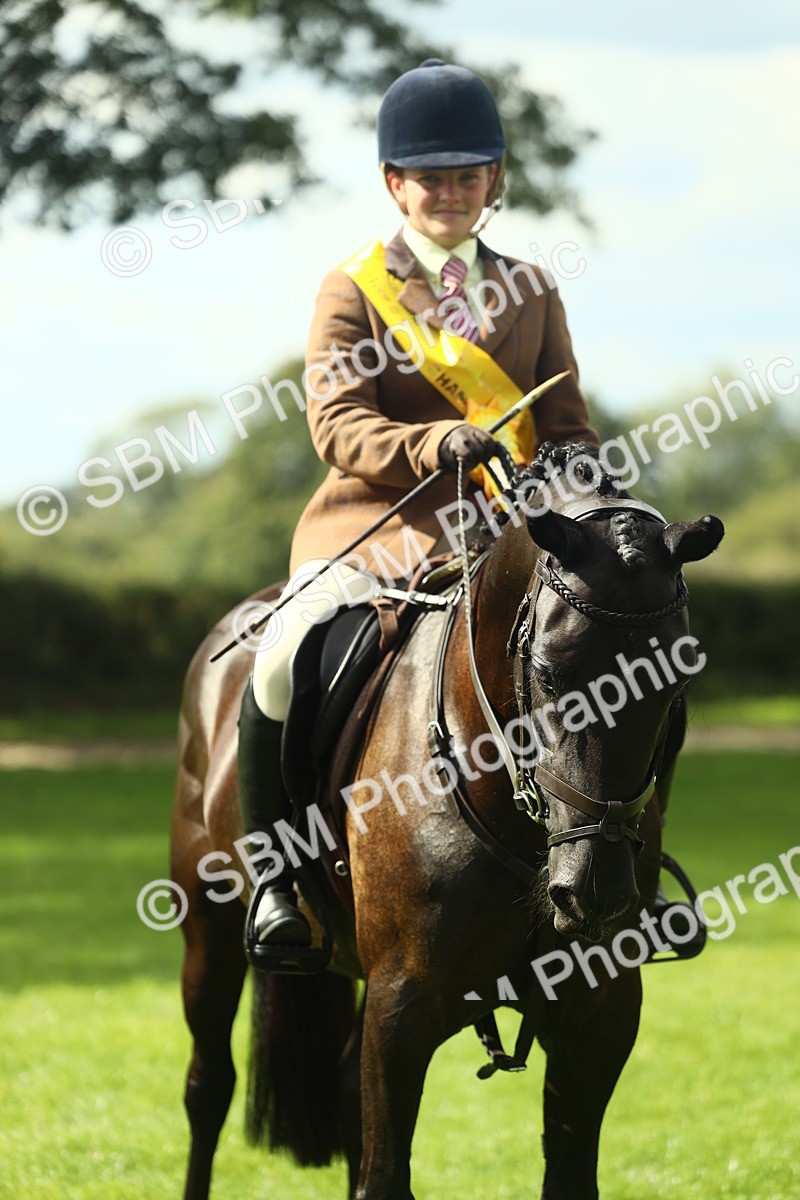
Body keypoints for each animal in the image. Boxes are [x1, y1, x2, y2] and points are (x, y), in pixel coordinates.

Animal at [170, 440, 724, 1200]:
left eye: (677, 678)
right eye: (549, 671)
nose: (596, 893)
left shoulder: (600, 1013)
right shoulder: (401, 1009)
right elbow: (384, 1174)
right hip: (210, 924)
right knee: (208, 1087)